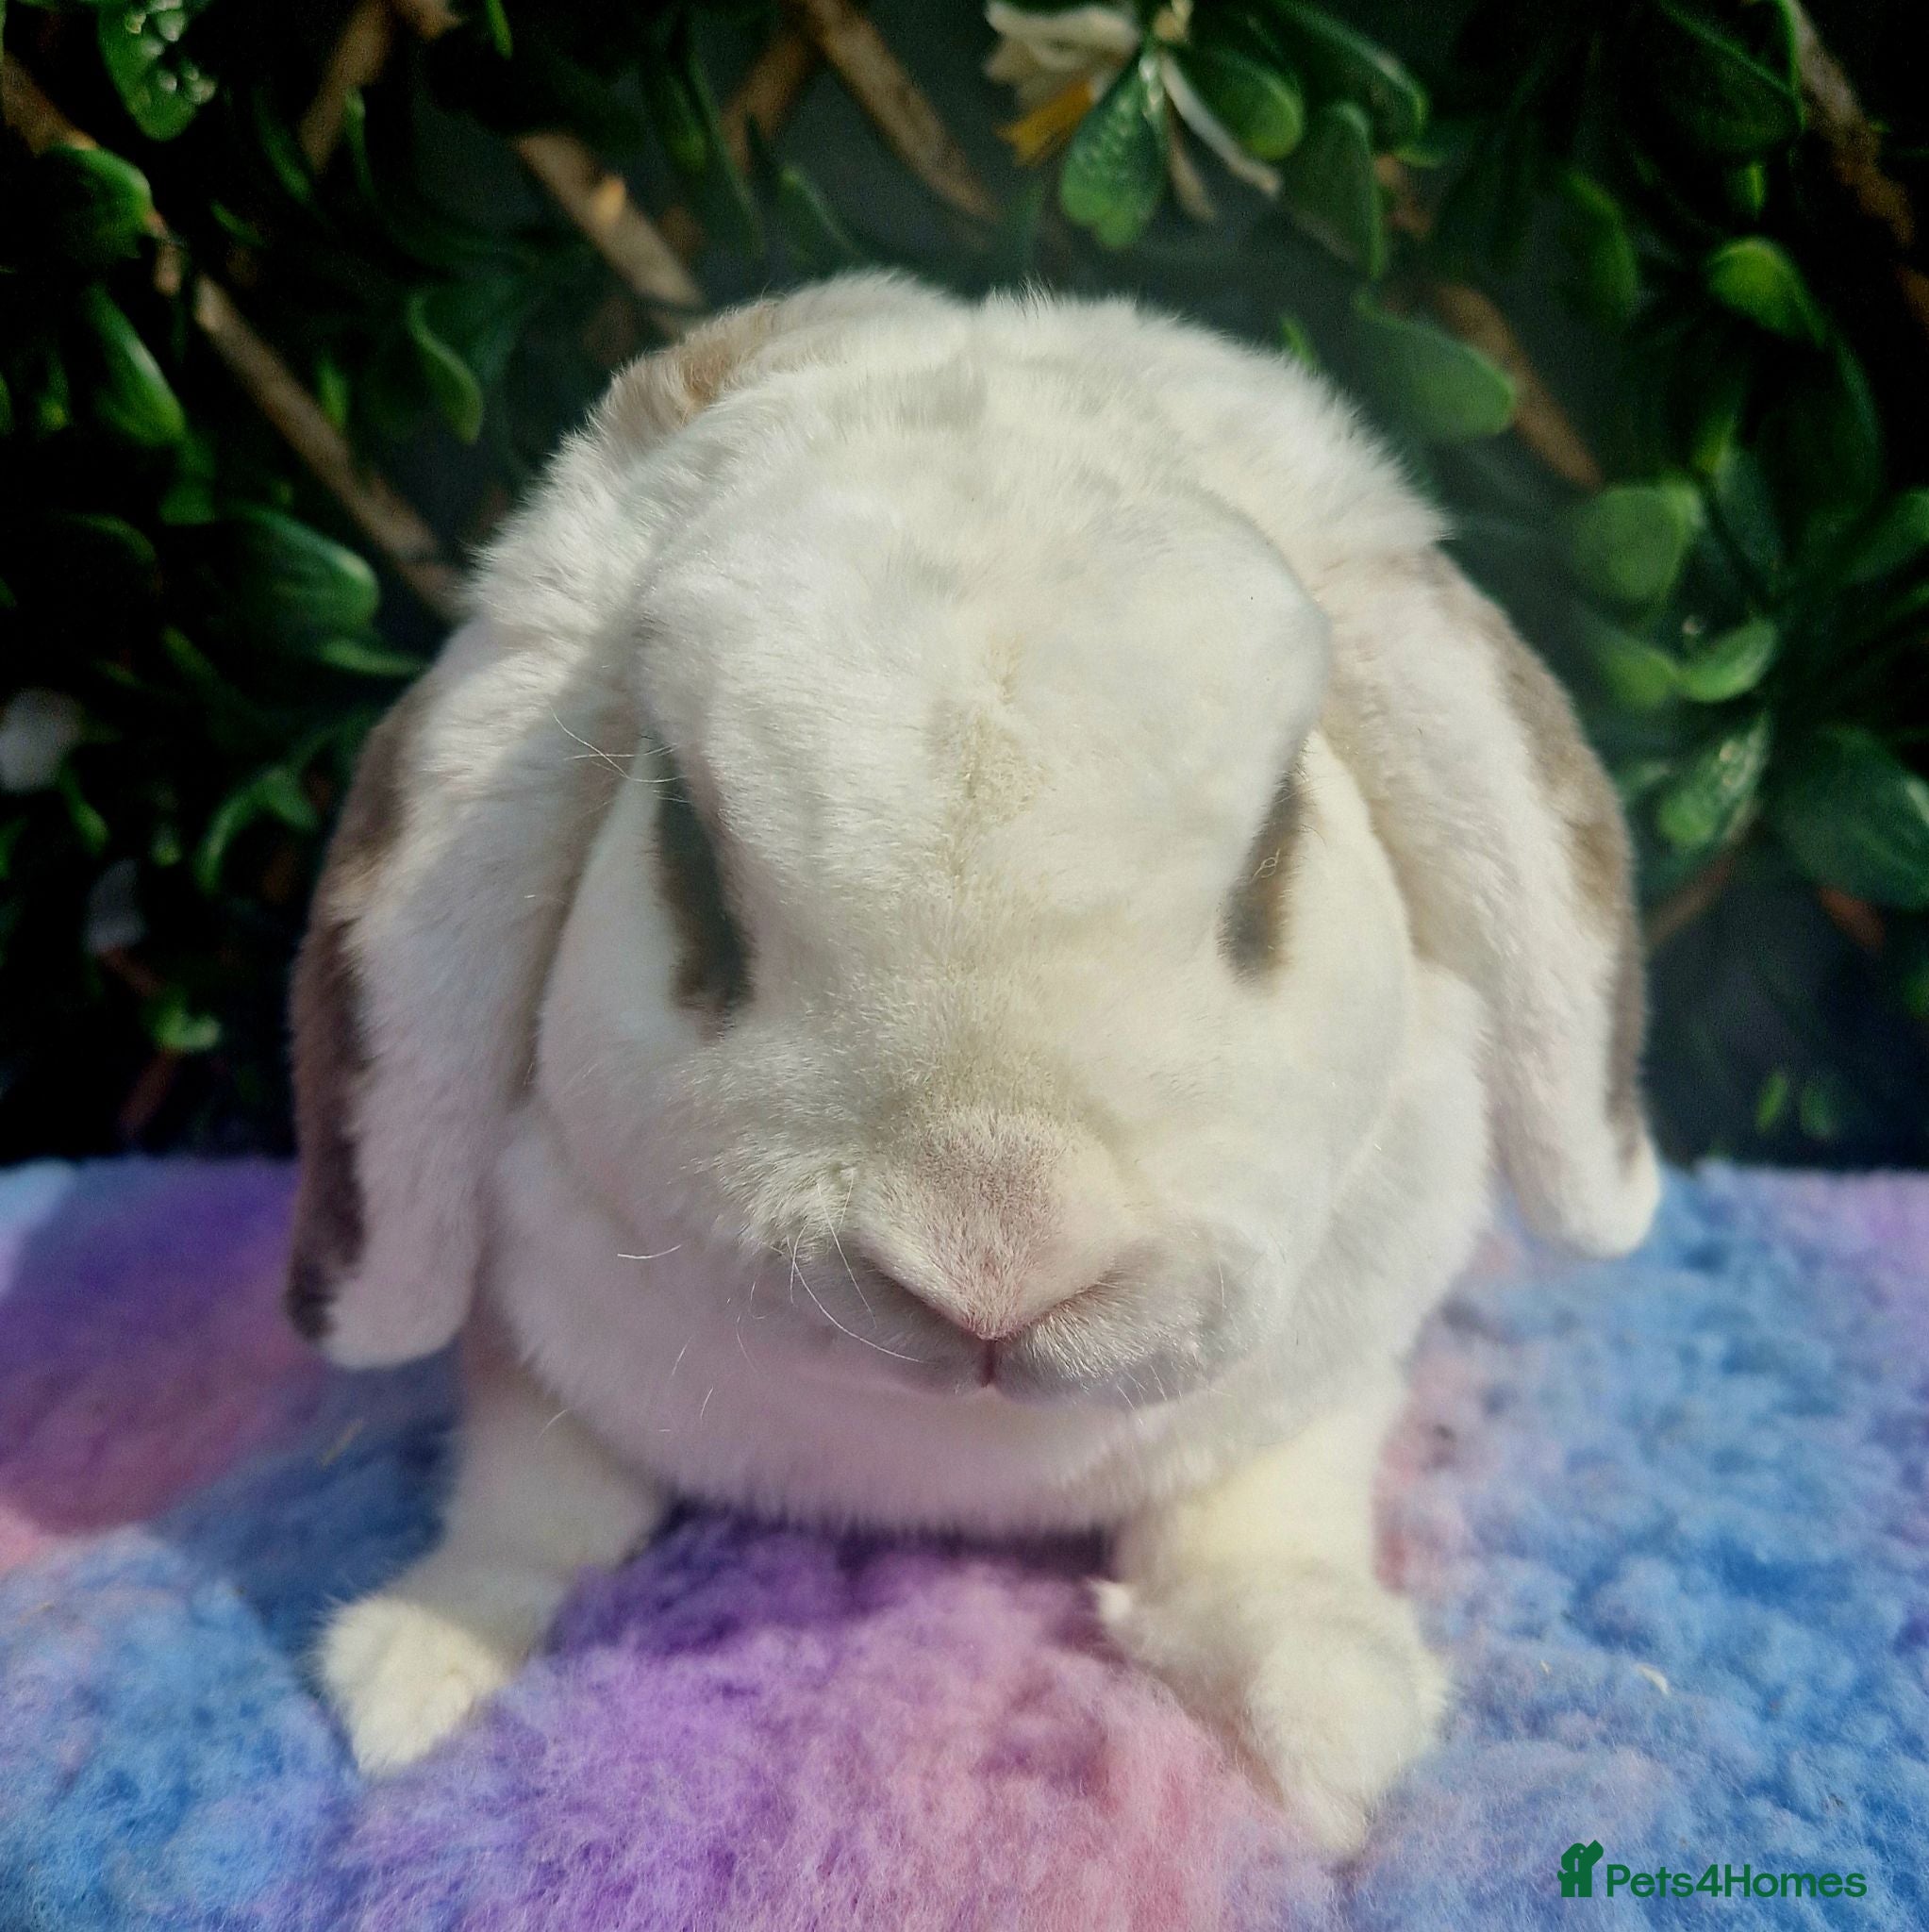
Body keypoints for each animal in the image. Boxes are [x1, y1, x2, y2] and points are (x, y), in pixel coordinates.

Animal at [290, 273, 1657, 1850]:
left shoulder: (1315, 1393)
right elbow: (534, 1499)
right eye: (687, 858)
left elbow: (1259, 1516)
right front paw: (421, 1660)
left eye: (1275, 855)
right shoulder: (535, 1359)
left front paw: (1325, 1712)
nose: (994, 1263)